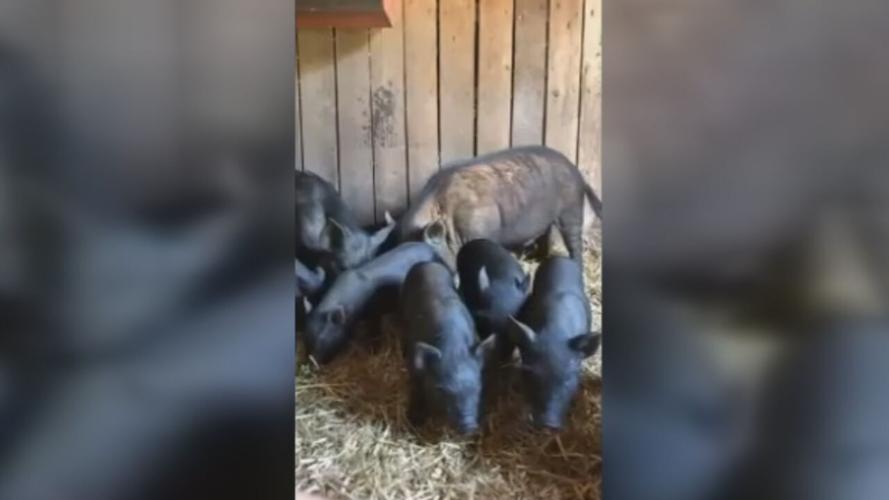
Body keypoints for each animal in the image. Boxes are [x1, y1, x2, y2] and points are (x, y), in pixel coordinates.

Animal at [303, 242, 439, 364]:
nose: (312, 362)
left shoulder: (374, 314)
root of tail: (431, 248)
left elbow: (374, 331)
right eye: (307, 338)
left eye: (322, 338)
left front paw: (372, 350)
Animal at [398, 146, 602, 268]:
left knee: (573, 240)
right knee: (546, 235)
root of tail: (578, 173)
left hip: (571, 208)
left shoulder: (479, 229)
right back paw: (534, 260)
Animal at [400, 261, 497, 434]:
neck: (454, 348)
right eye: (441, 390)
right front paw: (413, 421)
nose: (469, 426)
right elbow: (416, 388)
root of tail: (426, 263)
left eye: (477, 389)